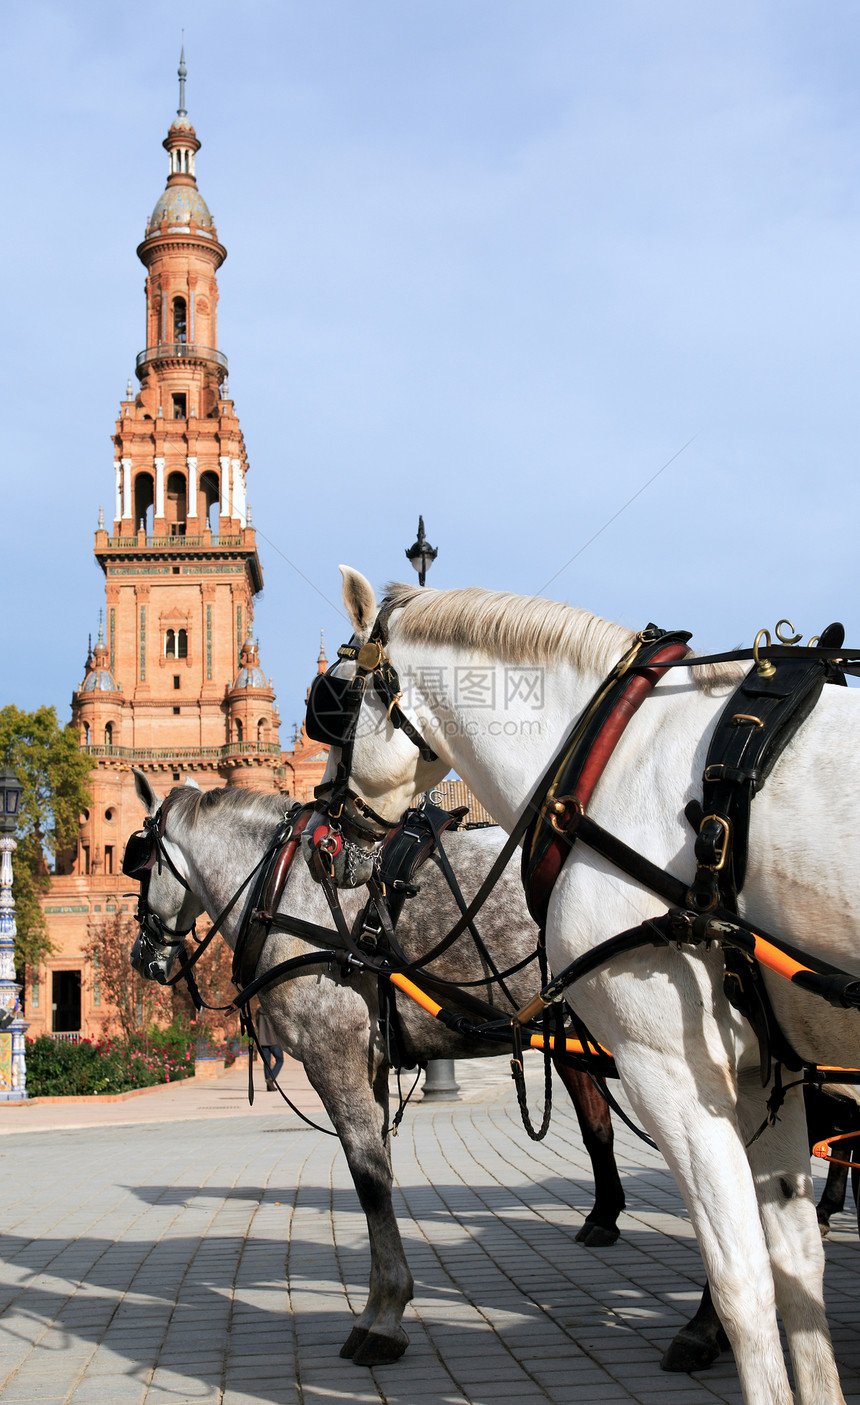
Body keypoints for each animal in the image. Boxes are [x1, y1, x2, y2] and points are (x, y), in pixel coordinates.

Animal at [311, 567, 860, 1405]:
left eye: (335, 704)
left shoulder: (676, 1072)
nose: (323, 837)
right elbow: (797, 1271)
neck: (609, 752)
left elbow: (741, 1282)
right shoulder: (769, 1073)